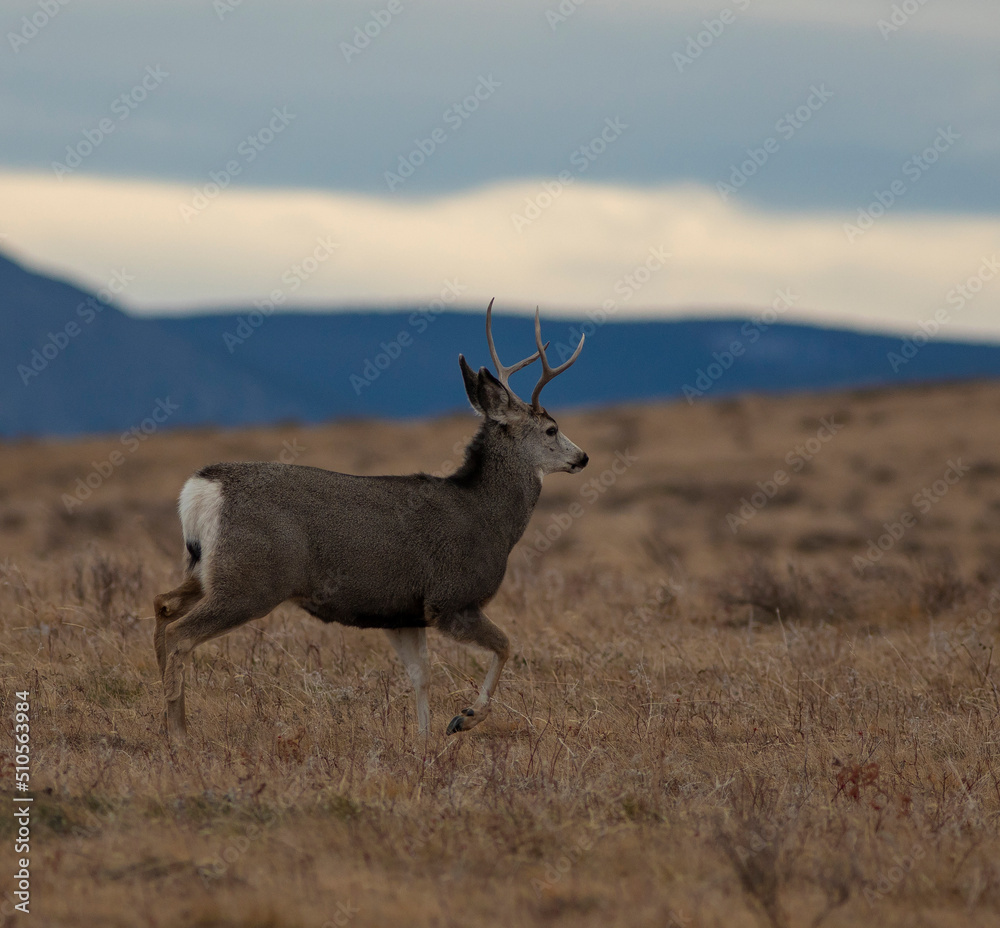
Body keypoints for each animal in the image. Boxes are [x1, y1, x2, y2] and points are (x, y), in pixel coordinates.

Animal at [153, 300, 588, 741]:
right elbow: (506, 645)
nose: (582, 457)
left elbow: (421, 675)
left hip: (208, 569)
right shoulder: (450, 600)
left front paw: (424, 741)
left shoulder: (403, 612)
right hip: (251, 581)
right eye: (551, 429)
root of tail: (200, 489)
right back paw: (180, 734)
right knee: (179, 634)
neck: (488, 517)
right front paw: (464, 718)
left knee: (162, 605)